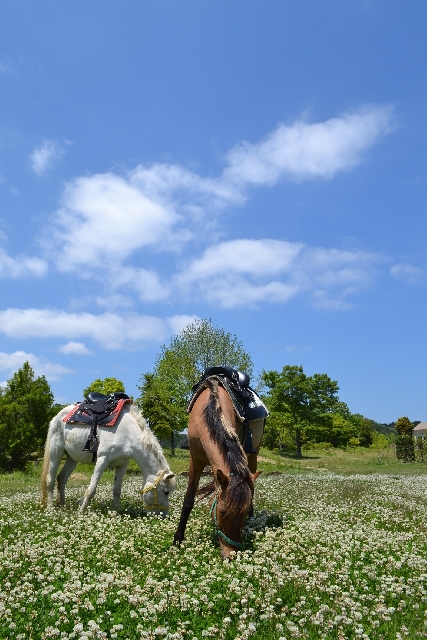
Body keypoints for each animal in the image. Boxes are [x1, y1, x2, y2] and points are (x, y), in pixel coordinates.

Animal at [41, 404, 176, 516]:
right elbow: (91, 489)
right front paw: (81, 512)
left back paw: (62, 505)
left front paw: (115, 513)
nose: (164, 516)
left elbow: (117, 490)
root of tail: (57, 417)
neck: (127, 432)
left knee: (62, 478)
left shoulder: (123, 464)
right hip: (56, 452)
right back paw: (50, 507)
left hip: (72, 458)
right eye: (166, 492)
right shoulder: (102, 460)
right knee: (50, 479)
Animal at [173, 378, 260, 556]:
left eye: (242, 514)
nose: (232, 555)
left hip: (254, 456)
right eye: (222, 511)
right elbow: (188, 500)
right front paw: (177, 539)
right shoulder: (195, 462)